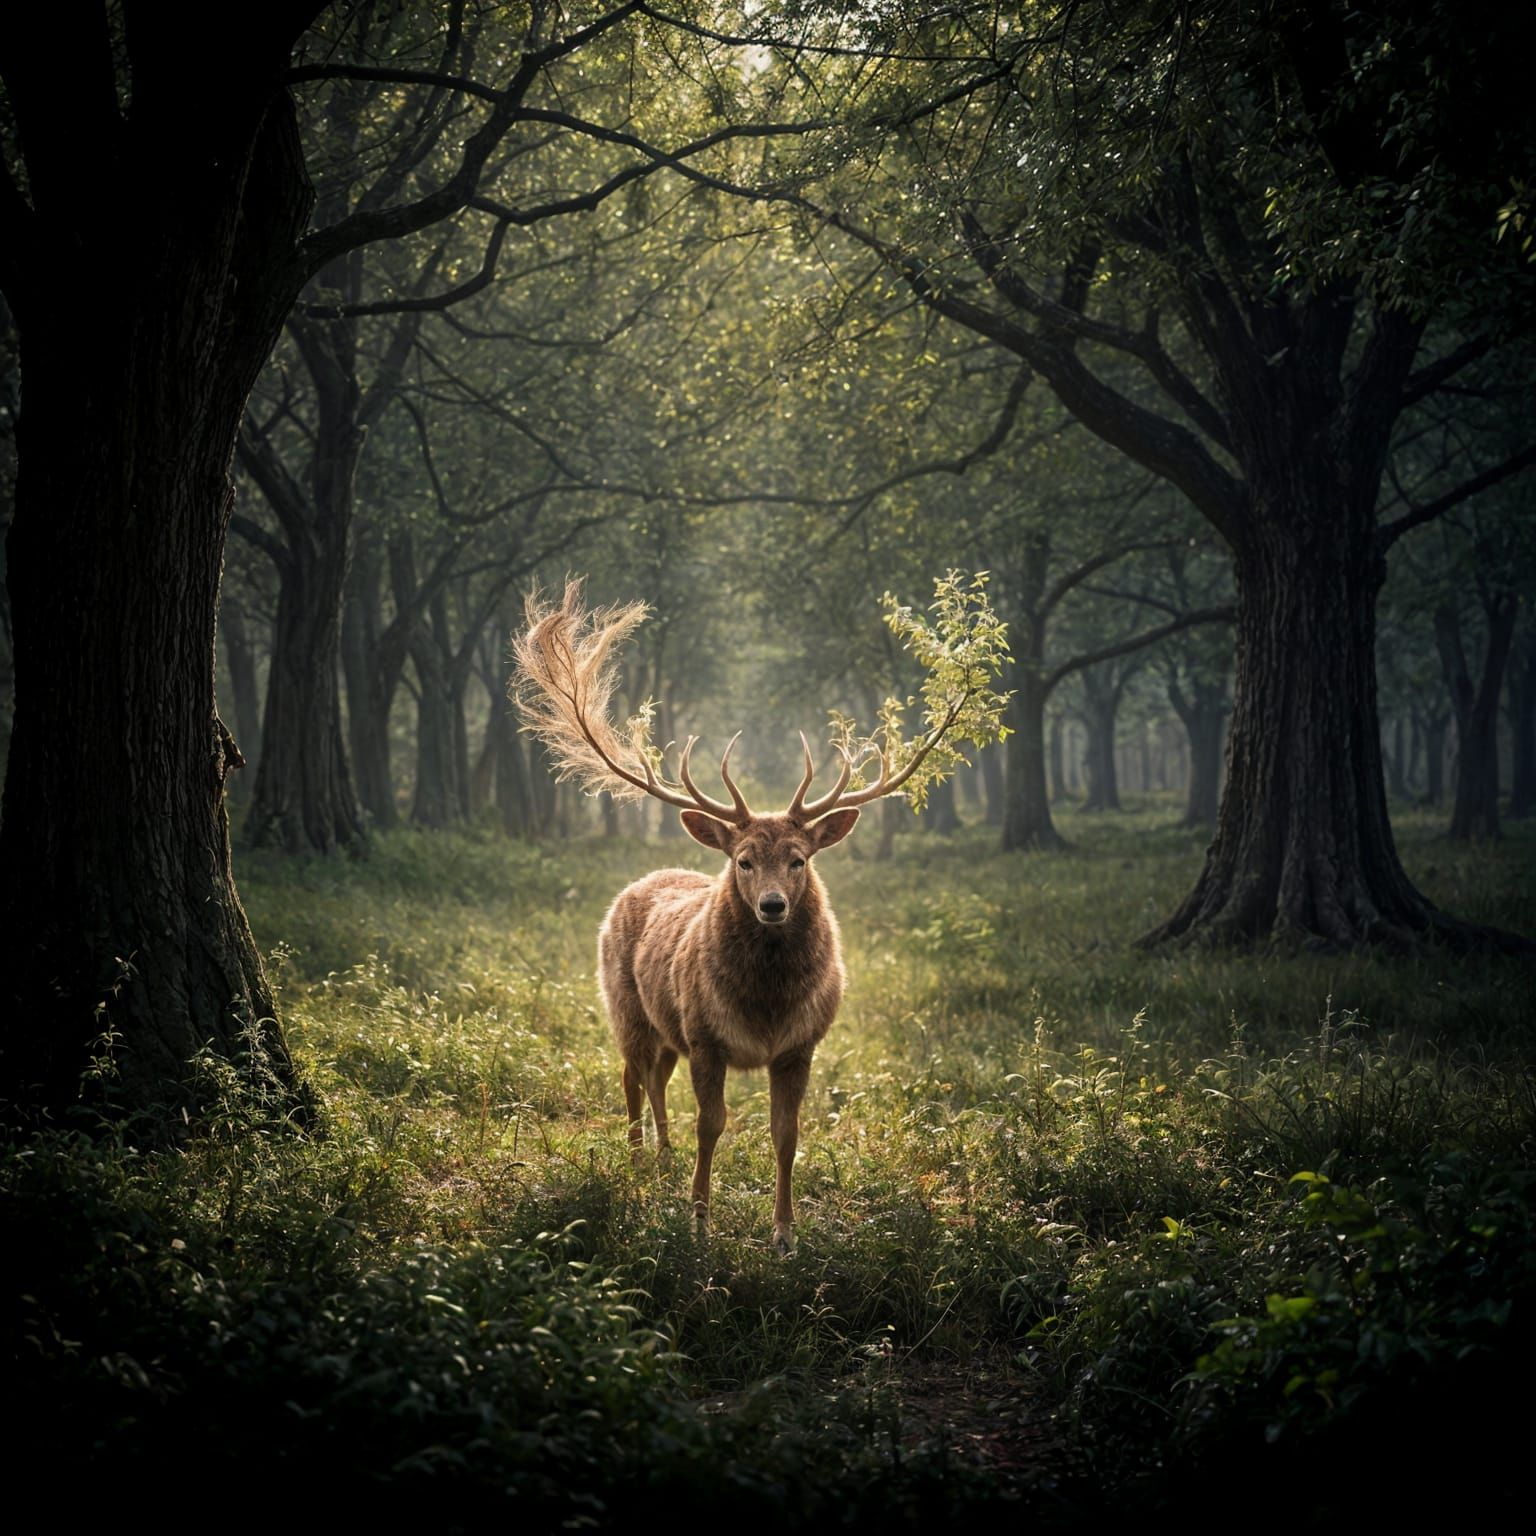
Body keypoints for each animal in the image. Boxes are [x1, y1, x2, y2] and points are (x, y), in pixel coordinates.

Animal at [511, 579, 990, 1255]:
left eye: (797, 859)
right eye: (742, 860)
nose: (772, 905)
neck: (765, 1006)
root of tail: (638, 883)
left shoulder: (799, 1045)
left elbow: (785, 1134)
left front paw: (785, 1233)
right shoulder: (707, 1036)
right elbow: (712, 1126)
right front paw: (699, 1221)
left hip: (668, 1025)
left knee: (656, 1077)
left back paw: (662, 1156)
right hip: (625, 1005)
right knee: (631, 1076)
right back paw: (636, 1162)